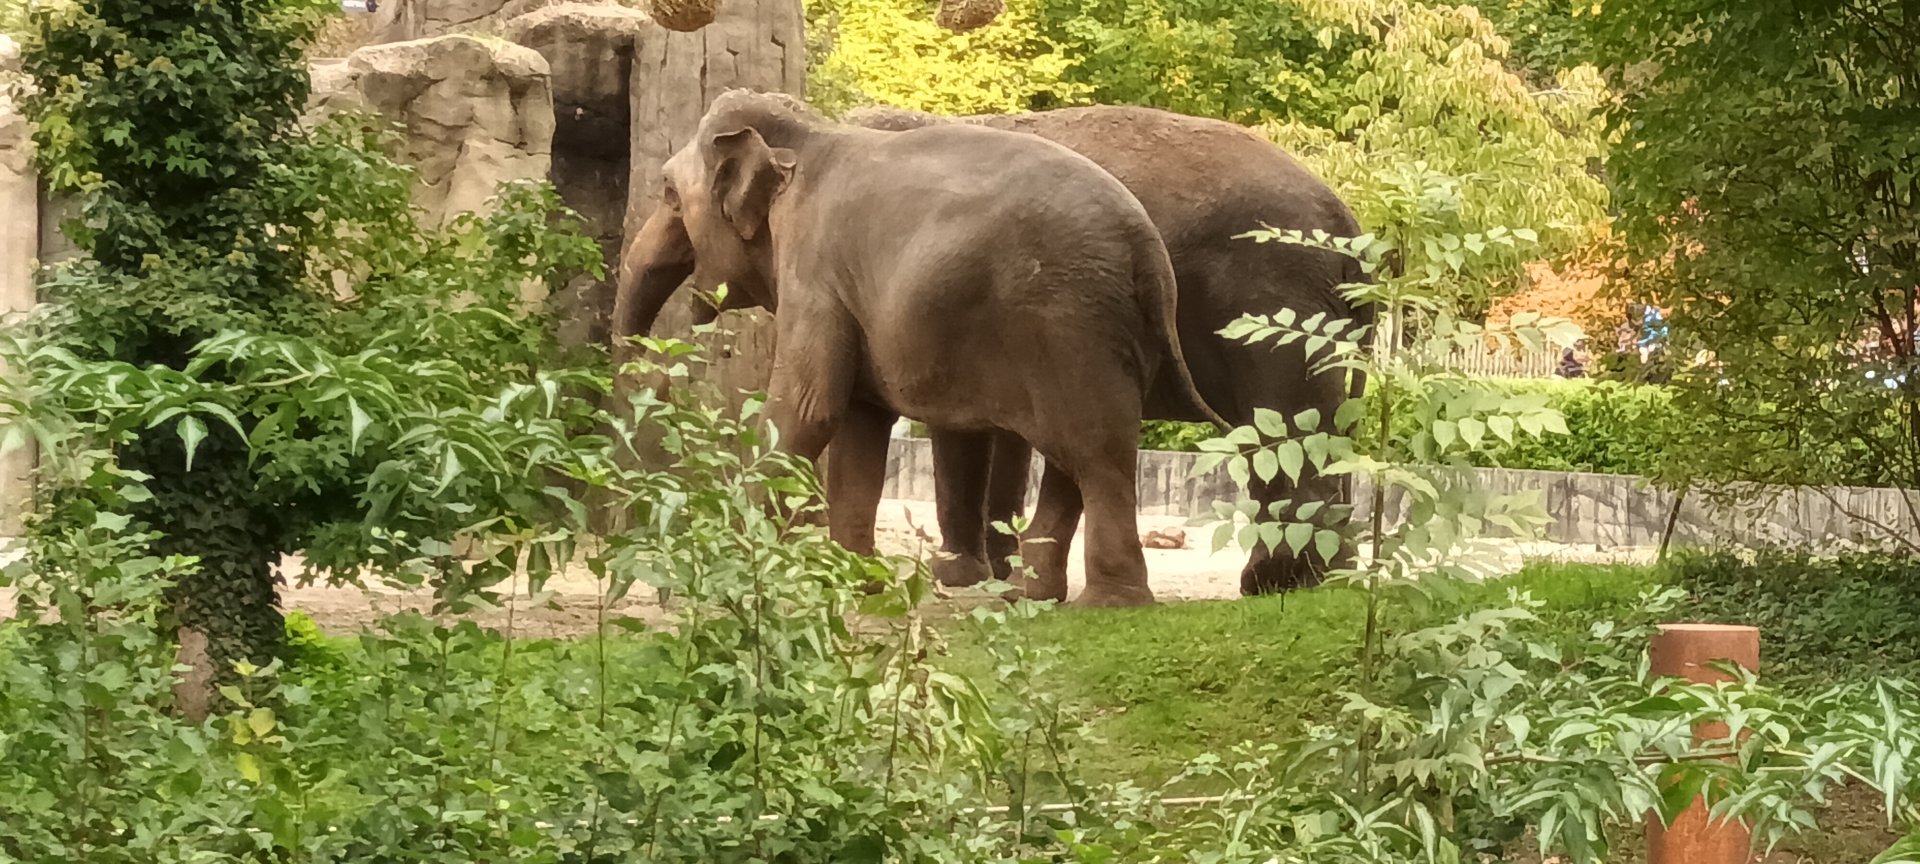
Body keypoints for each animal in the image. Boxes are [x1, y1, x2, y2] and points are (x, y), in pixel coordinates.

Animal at [611, 89, 1227, 607]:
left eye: (668, 194)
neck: (806, 136)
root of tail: (1147, 250)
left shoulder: (814, 273)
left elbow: (807, 412)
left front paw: (735, 569)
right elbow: (858, 426)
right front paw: (852, 581)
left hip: (1068, 326)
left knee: (1096, 456)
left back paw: (1107, 604)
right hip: (1098, 334)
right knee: (1078, 458)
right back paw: (1030, 596)